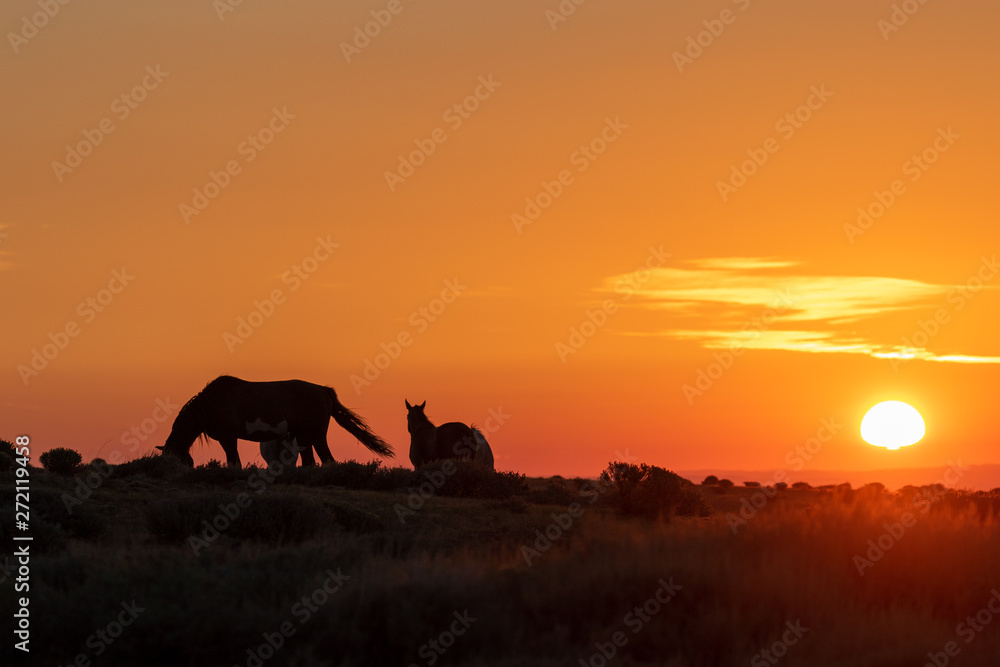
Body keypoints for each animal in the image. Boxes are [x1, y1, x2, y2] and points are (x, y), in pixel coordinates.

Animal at [157, 376, 393, 468]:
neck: (212, 403)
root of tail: (323, 390)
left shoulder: (228, 438)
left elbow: (234, 461)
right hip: (303, 438)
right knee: (310, 462)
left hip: (316, 435)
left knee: (327, 459)